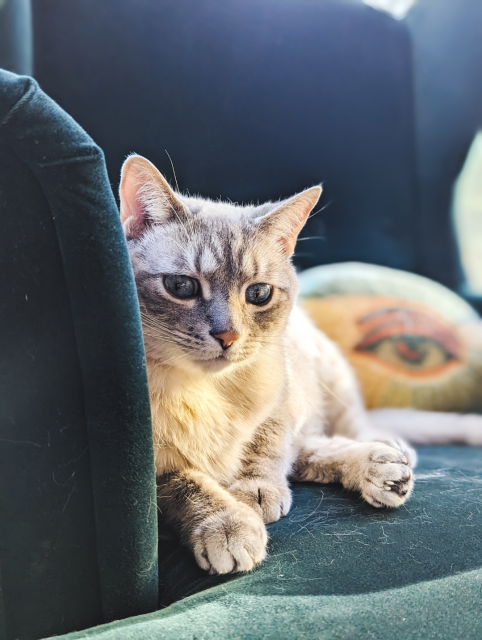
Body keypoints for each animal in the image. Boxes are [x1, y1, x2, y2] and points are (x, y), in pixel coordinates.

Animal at [118, 154, 480, 576]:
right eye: (181, 287)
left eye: (258, 293)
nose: (228, 336)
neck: (203, 390)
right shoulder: (153, 469)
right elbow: (190, 485)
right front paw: (227, 523)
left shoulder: (283, 402)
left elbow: (267, 446)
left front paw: (254, 490)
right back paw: (381, 467)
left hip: (332, 379)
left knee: (341, 435)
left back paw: (385, 457)